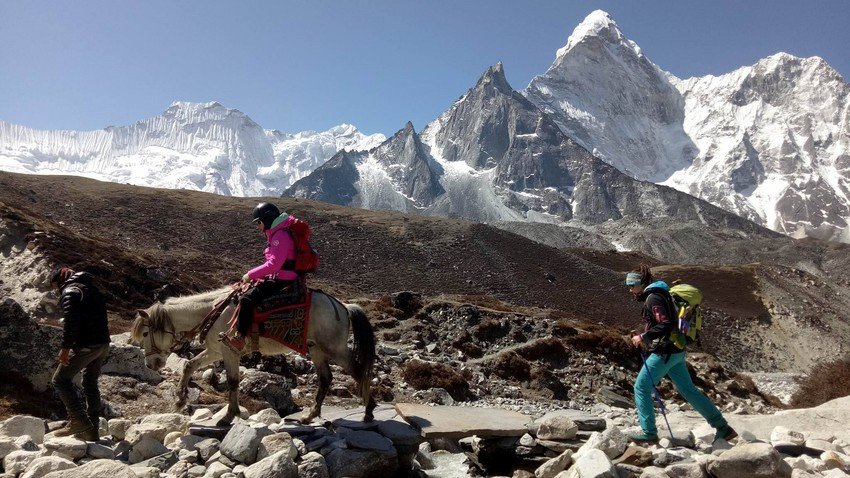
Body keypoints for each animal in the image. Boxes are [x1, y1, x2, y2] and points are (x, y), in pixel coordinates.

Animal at [129, 286, 374, 424]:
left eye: (145, 333)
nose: (151, 364)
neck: (213, 312)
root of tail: (344, 307)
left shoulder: (230, 351)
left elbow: (233, 381)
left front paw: (229, 416)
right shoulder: (215, 350)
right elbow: (189, 365)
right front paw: (180, 401)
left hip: (335, 349)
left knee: (358, 371)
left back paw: (369, 411)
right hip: (317, 350)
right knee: (325, 379)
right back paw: (309, 416)